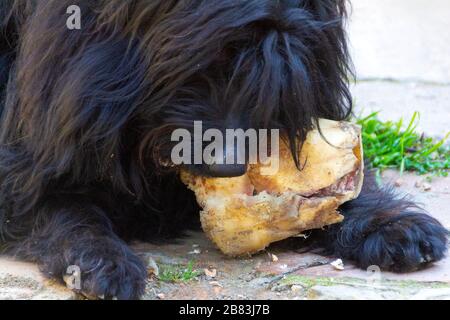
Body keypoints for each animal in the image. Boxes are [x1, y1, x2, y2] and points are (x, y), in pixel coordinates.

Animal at [0, 0, 446, 300]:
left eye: (276, 72)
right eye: (198, 67)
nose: (228, 167)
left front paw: (394, 224)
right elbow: (58, 202)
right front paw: (103, 263)